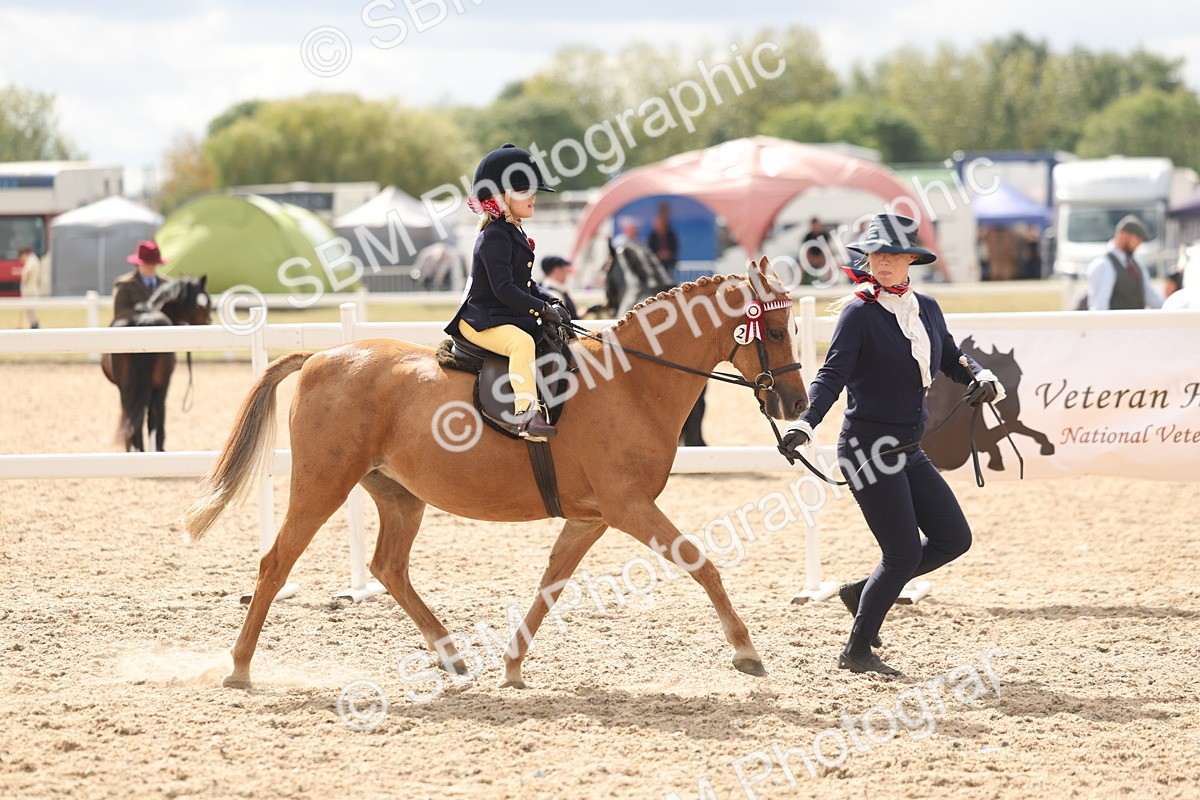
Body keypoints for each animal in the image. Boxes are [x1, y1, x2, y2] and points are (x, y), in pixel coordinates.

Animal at [102, 276, 211, 452]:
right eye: (202, 304)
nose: (209, 321)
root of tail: (142, 322)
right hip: (160, 385)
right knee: (151, 416)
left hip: (129, 388)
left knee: (135, 418)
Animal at [184, 258, 807, 690]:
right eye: (776, 333)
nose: (797, 404)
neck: (632, 382)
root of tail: (318, 356)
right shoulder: (629, 507)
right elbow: (701, 564)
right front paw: (746, 652)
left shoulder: (591, 518)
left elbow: (550, 584)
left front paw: (511, 664)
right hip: (321, 487)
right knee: (276, 563)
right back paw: (239, 668)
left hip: (399, 495)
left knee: (389, 569)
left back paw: (452, 656)